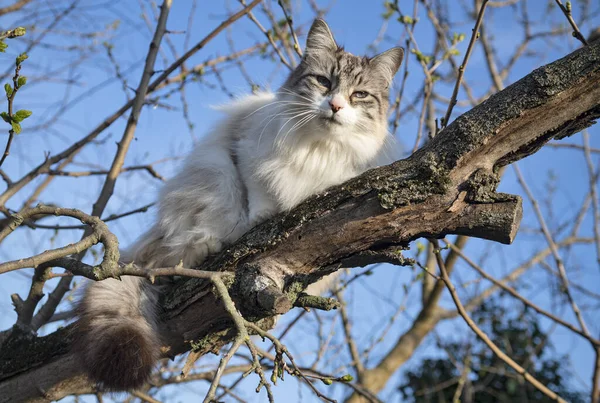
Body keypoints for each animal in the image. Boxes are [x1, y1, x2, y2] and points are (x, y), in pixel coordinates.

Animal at [75, 19, 404, 392]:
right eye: (324, 82)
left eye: (358, 95)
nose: (335, 105)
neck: (319, 148)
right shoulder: (243, 156)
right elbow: (256, 194)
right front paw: (260, 217)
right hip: (211, 178)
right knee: (182, 247)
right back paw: (209, 247)